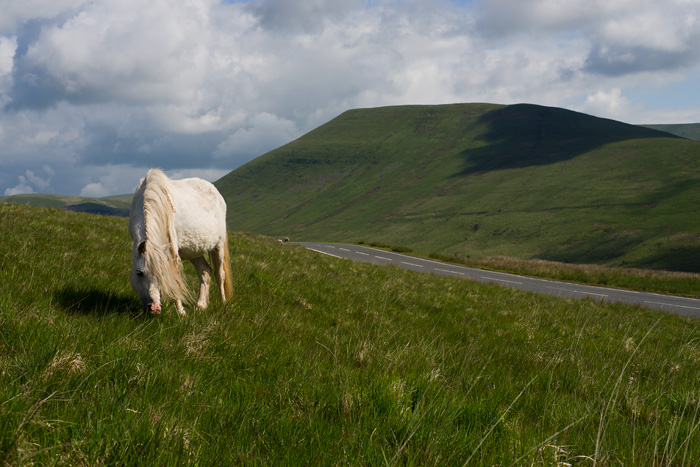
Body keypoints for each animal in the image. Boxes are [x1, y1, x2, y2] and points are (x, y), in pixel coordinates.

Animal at [128, 167, 232, 314]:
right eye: (139, 273)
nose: (154, 308)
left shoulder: (173, 250)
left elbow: (175, 278)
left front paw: (181, 312)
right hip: (194, 251)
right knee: (205, 271)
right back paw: (201, 305)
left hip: (218, 246)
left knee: (220, 274)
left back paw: (223, 303)